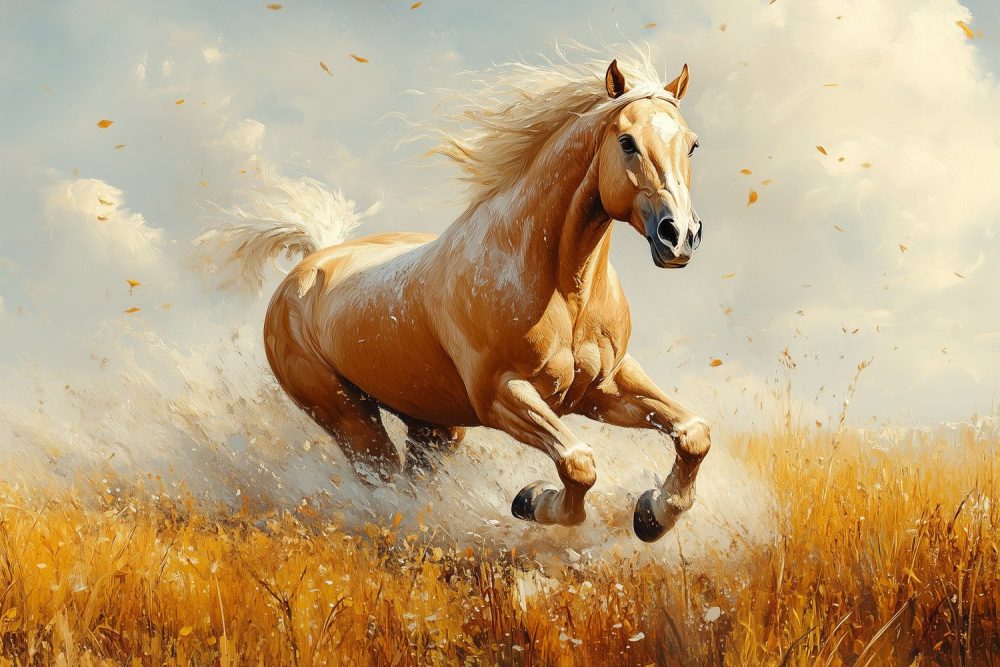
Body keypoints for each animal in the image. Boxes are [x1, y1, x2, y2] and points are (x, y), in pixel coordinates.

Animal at [208, 53, 710, 543]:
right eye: (627, 142)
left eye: (691, 145)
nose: (679, 237)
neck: (565, 290)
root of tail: (313, 260)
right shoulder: (502, 395)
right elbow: (578, 463)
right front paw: (531, 500)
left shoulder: (605, 386)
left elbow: (693, 433)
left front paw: (652, 515)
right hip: (350, 419)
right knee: (382, 481)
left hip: (435, 429)